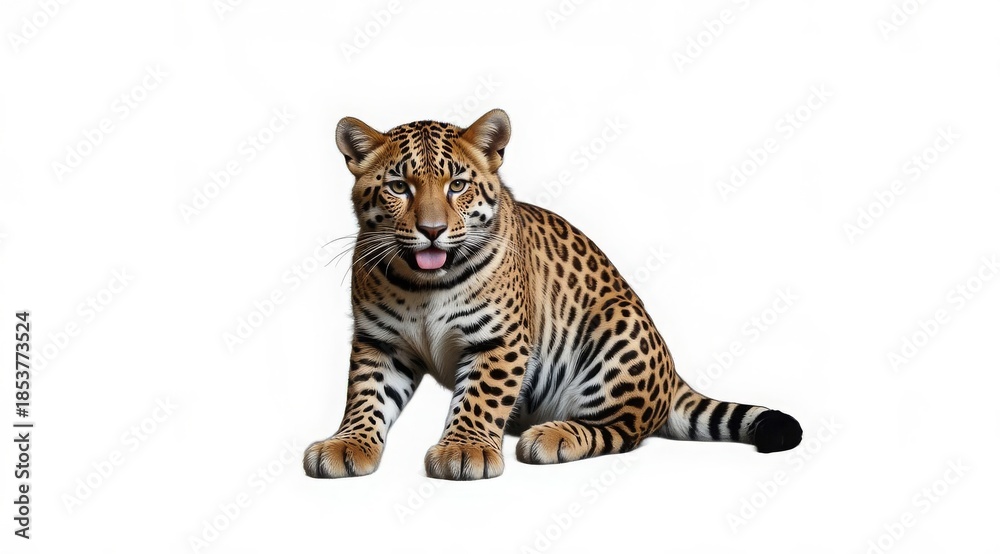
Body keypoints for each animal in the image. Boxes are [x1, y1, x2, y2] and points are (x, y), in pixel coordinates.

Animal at [303, 109, 802, 480]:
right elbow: (366, 394)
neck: (425, 285)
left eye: (457, 185)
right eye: (398, 187)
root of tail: (672, 375)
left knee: (623, 430)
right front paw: (347, 444)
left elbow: (480, 396)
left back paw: (552, 437)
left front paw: (464, 450)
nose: (431, 230)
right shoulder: (380, 341)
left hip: (619, 326)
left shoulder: (498, 339)